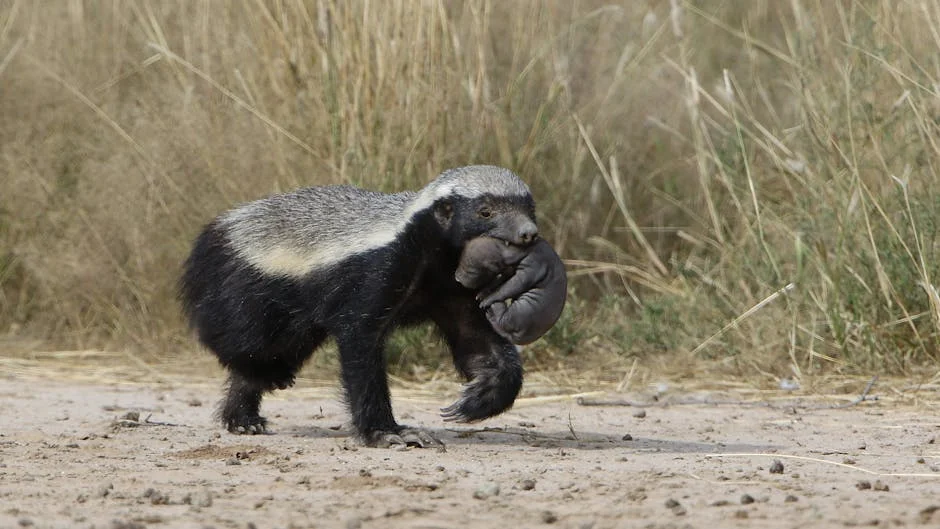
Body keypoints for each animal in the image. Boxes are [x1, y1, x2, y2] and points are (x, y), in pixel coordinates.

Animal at [179, 166, 539, 448]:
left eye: (528, 207)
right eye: (485, 211)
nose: (529, 233)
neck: (435, 255)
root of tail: (221, 227)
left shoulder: (453, 291)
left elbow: (477, 338)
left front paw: (480, 396)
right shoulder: (375, 273)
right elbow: (360, 344)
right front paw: (387, 433)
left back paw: (243, 418)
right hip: (250, 293)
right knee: (248, 345)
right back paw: (254, 395)